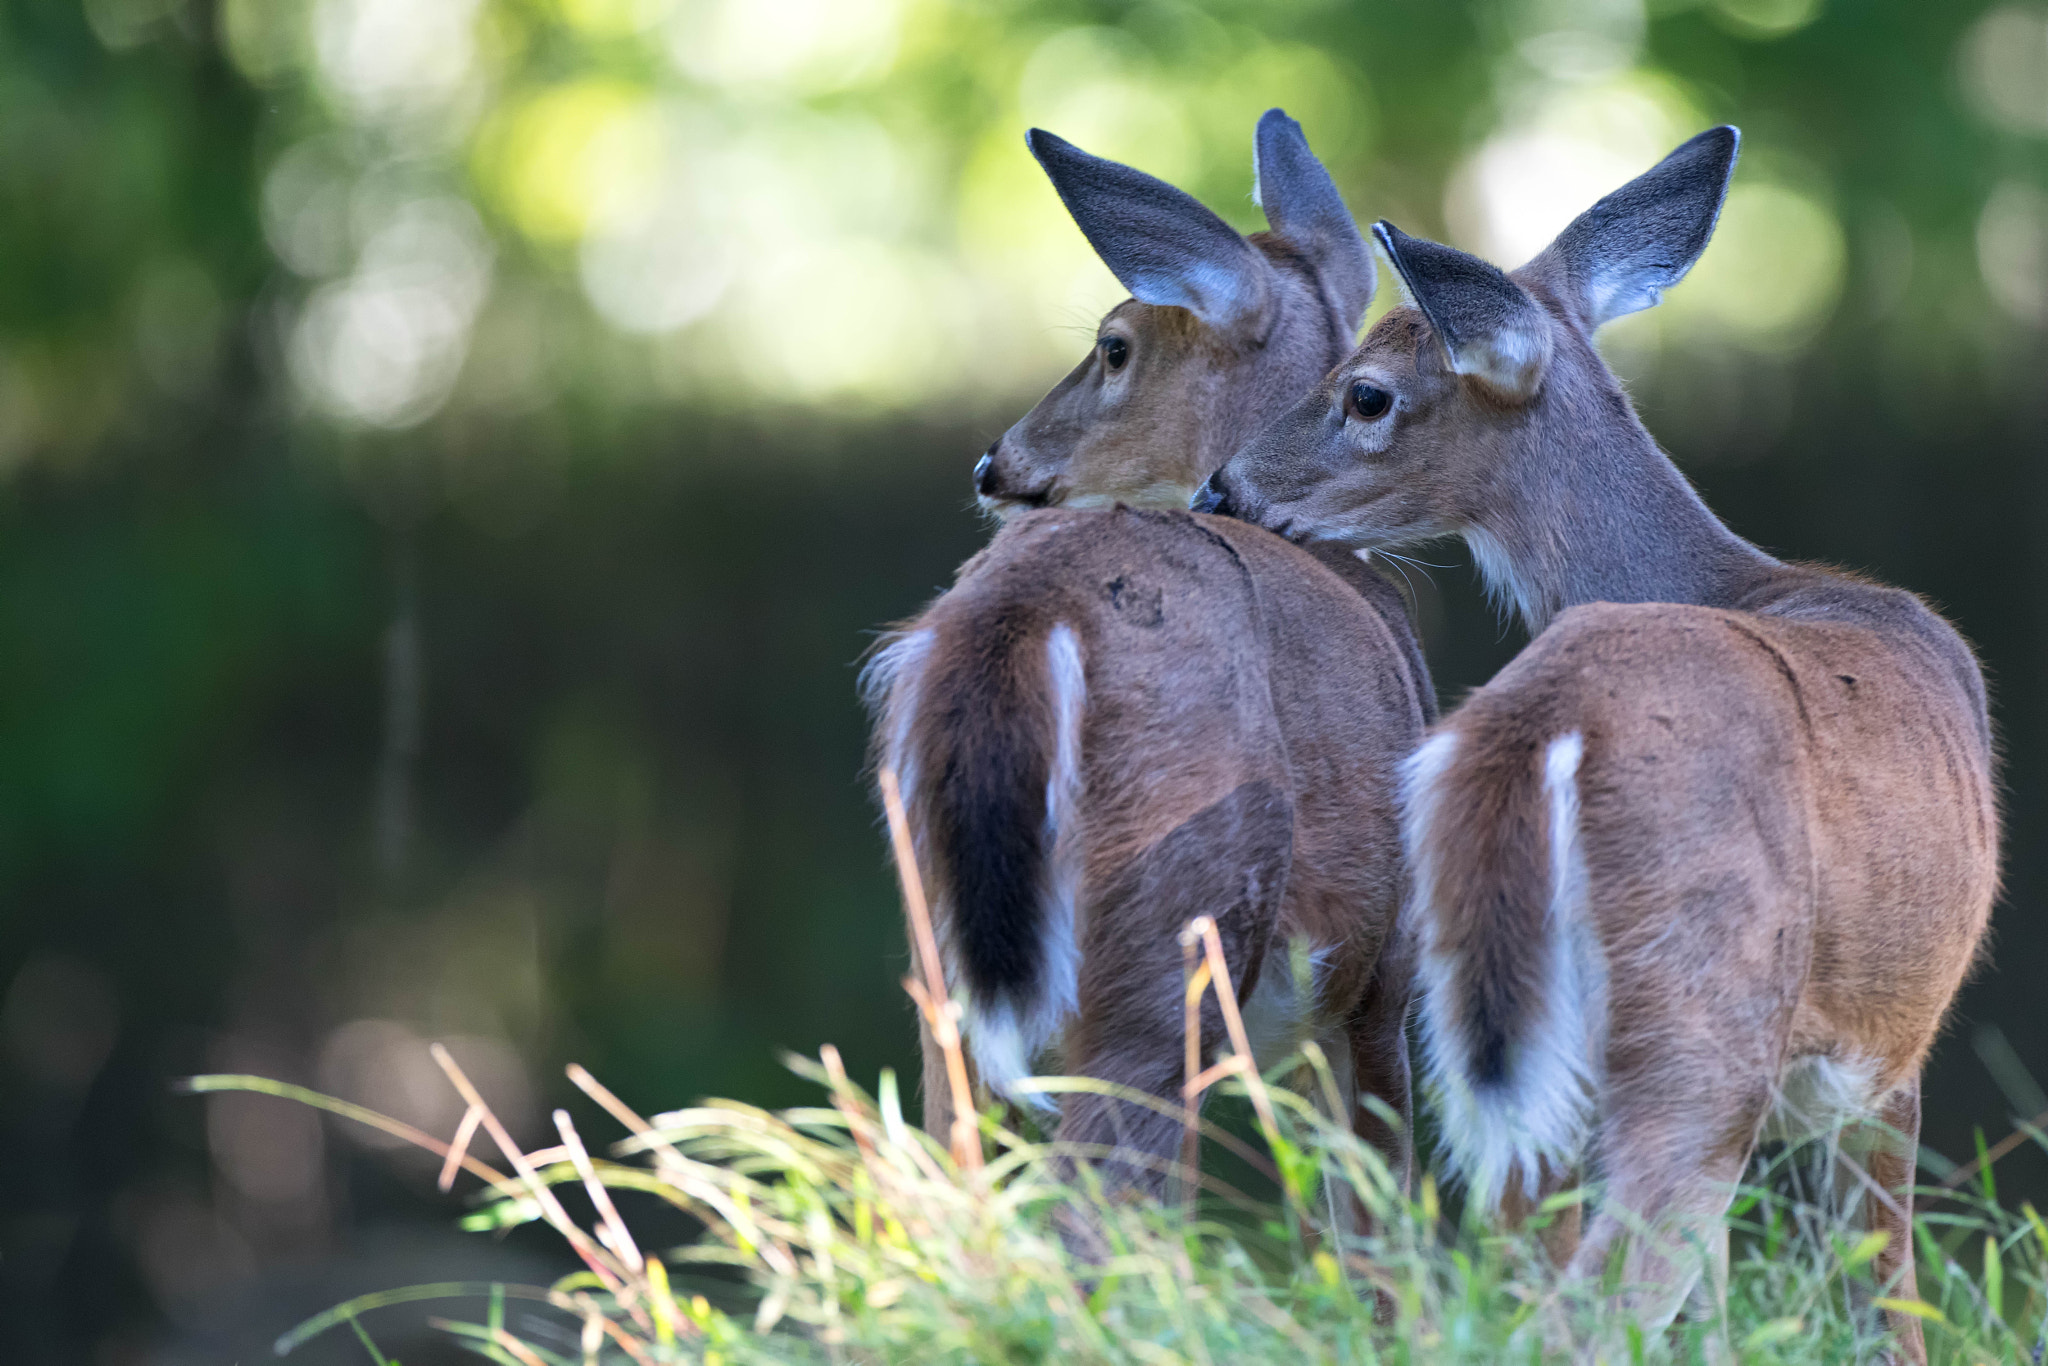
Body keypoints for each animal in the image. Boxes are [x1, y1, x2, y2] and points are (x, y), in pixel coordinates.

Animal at [856, 109, 1433, 1220]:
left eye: (1111, 346)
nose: (995, 463)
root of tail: (1021, 616)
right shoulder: (1380, 967)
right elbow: (1377, 1208)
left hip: (933, 951)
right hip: (1177, 931)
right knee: (1105, 1203)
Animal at [1196, 125, 1998, 1359]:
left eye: (1368, 394)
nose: (1221, 485)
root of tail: (1539, 730)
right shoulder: (1886, 1055)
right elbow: (1886, 1315)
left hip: (1502, 1044)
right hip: (1701, 1032)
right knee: (1591, 1303)